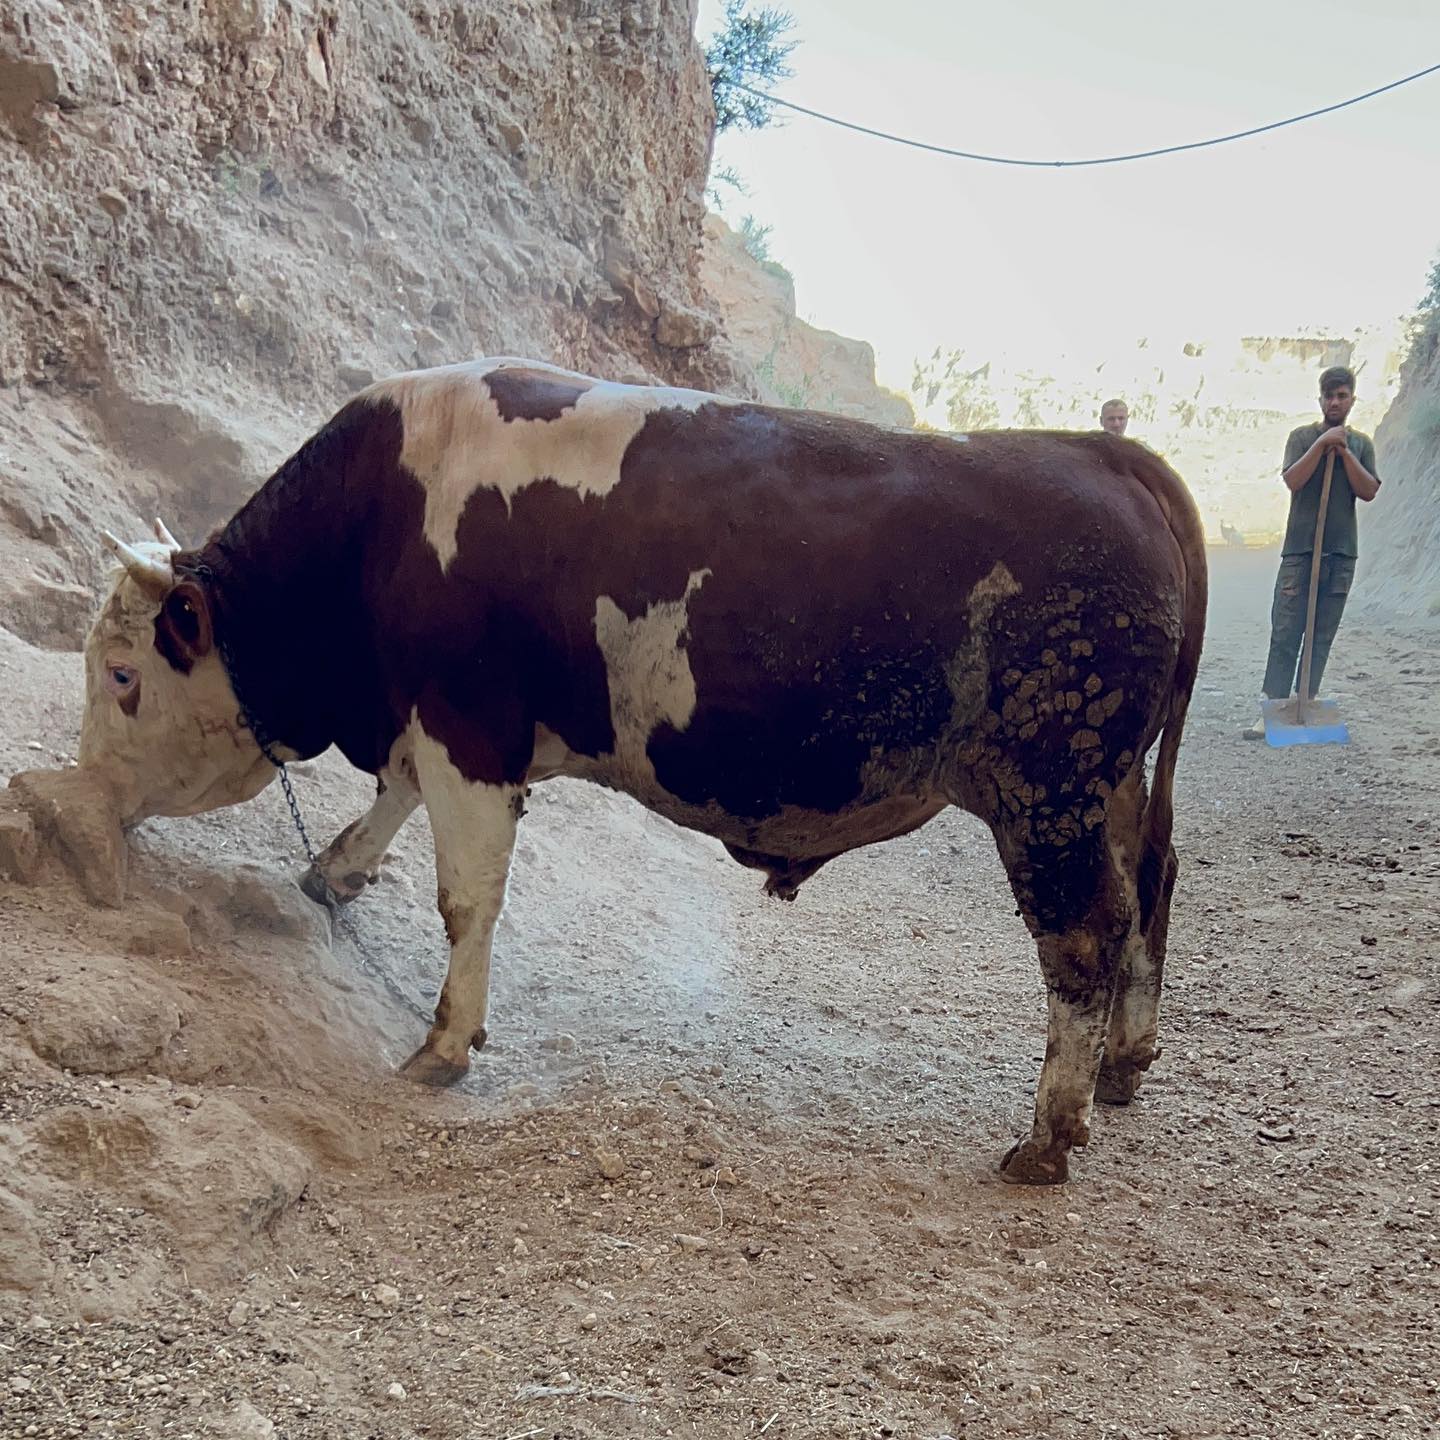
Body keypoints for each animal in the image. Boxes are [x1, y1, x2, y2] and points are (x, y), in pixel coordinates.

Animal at [75, 357, 1203, 1180]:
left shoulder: (468, 722)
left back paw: (1048, 1136)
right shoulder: (438, 723)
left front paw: (444, 1043)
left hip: (1048, 794)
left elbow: (466, 894)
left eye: (123, 674)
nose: (89, 799)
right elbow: (392, 798)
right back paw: (1124, 1063)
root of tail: (1103, 453)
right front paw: (334, 872)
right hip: (1110, 791)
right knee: (1149, 889)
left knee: (1083, 937)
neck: (385, 509)